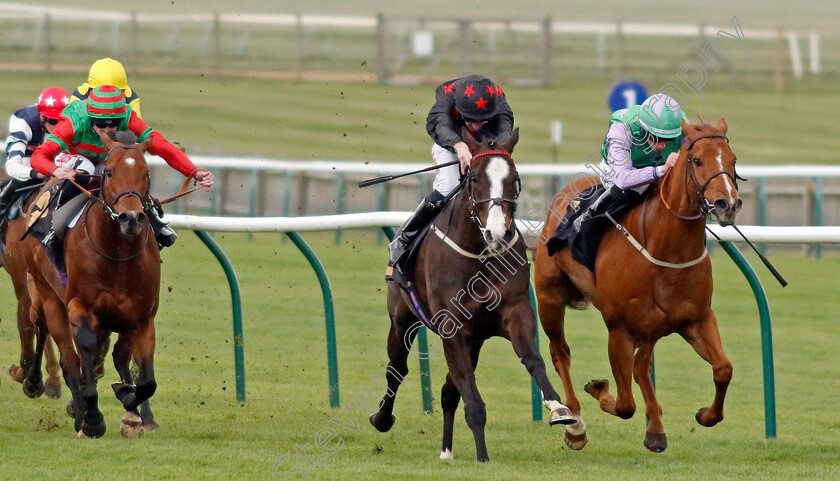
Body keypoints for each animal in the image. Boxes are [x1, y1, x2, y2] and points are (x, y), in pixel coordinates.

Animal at [25, 129, 162, 436]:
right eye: (109, 172)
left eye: (147, 173)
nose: (131, 218)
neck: (117, 255)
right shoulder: (80, 307)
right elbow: (84, 352)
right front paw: (92, 418)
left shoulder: (142, 316)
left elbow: (146, 379)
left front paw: (129, 402)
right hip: (49, 297)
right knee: (69, 358)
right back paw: (77, 412)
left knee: (117, 355)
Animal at [372, 128, 576, 462]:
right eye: (476, 178)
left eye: (514, 178)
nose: (497, 234)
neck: (479, 253)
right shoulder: (452, 328)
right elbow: (472, 398)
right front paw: (482, 456)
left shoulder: (515, 312)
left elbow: (533, 359)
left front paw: (559, 408)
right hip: (402, 320)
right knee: (396, 370)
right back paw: (382, 418)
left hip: (475, 340)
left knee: (447, 391)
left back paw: (446, 450)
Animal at [540, 119, 740, 450]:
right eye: (697, 161)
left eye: (733, 160)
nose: (728, 204)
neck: (667, 251)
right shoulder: (619, 330)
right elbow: (625, 405)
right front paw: (597, 390)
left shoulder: (697, 319)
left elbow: (724, 369)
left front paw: (705, 415)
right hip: (549, 298)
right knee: (561, 353)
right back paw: (574, 423)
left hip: (651, 328)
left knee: (641, 367)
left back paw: (655, 429)